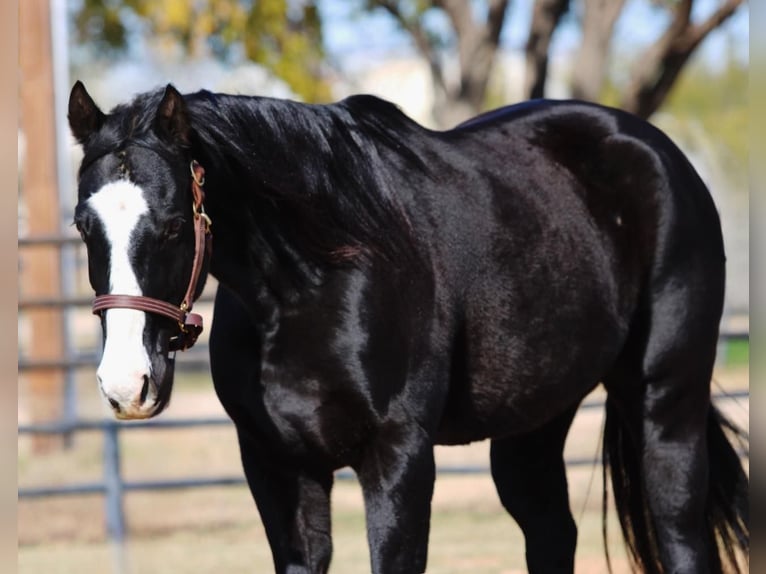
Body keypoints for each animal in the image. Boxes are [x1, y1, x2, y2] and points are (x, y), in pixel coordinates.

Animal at [69, 82, 748, 574]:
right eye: (83, 225)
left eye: (174, 225)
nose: (127, 384)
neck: (313, 281)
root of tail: (654, 150)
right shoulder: (276, 464)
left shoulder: (398, 458)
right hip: (532, 425)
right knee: (552, 532)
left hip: (666, 402)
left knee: (680, 531)